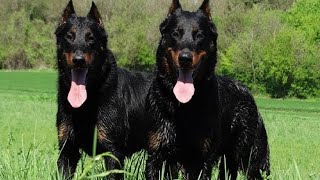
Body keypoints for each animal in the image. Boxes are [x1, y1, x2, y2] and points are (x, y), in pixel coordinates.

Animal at [146, 0, 270, 179]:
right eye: (175, 34)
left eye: (199, 35)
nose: (185, 58)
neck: (183, 107)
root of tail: (247, 93)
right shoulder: (157, 155)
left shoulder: (202, 160)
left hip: (245, 157)